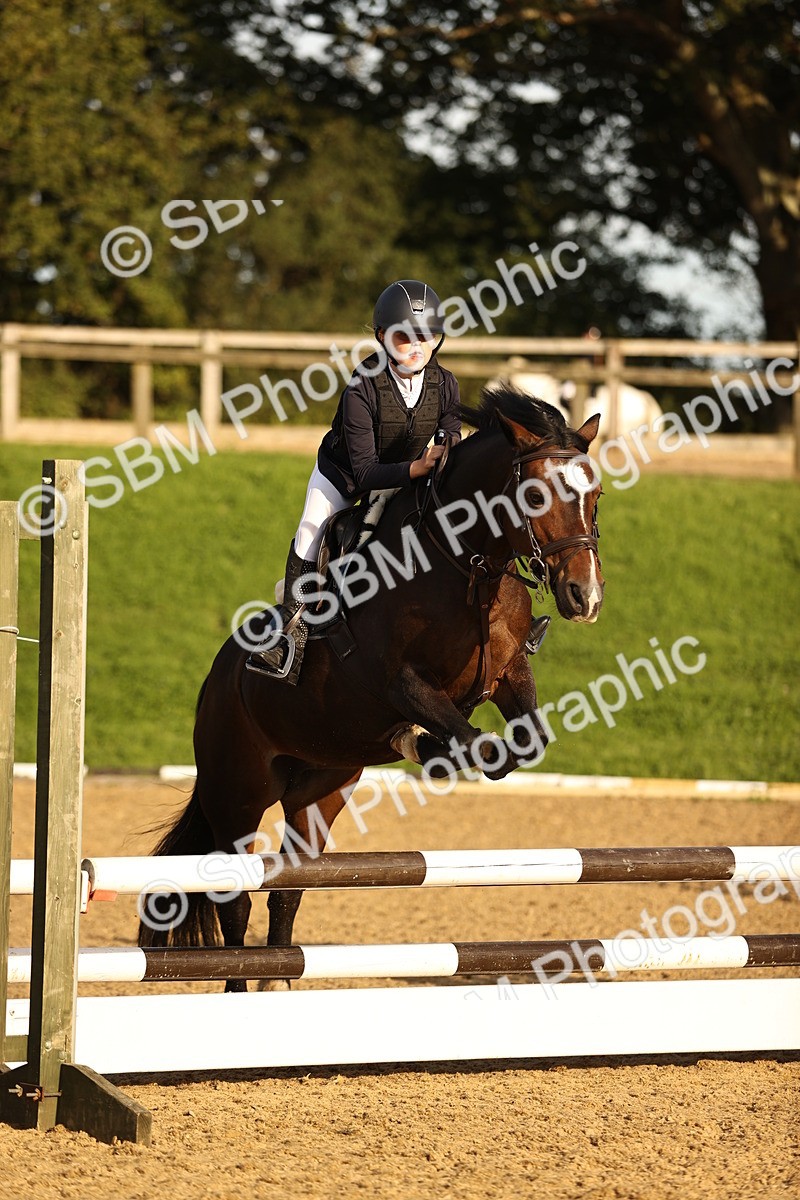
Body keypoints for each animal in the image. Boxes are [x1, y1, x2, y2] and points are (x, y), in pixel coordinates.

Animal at [139, 385, 605, 990]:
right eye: (535, 494)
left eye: (595, 495)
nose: (584, 597)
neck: (464, 565)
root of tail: (214, 681)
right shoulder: (399, 683)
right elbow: (478, 743)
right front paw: (428, 746)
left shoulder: (507, 673)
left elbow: (522, 742)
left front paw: (428, 747)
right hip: (236, 793)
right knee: (234, 899)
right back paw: (241, 989)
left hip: (319, 792)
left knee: (287, 890)